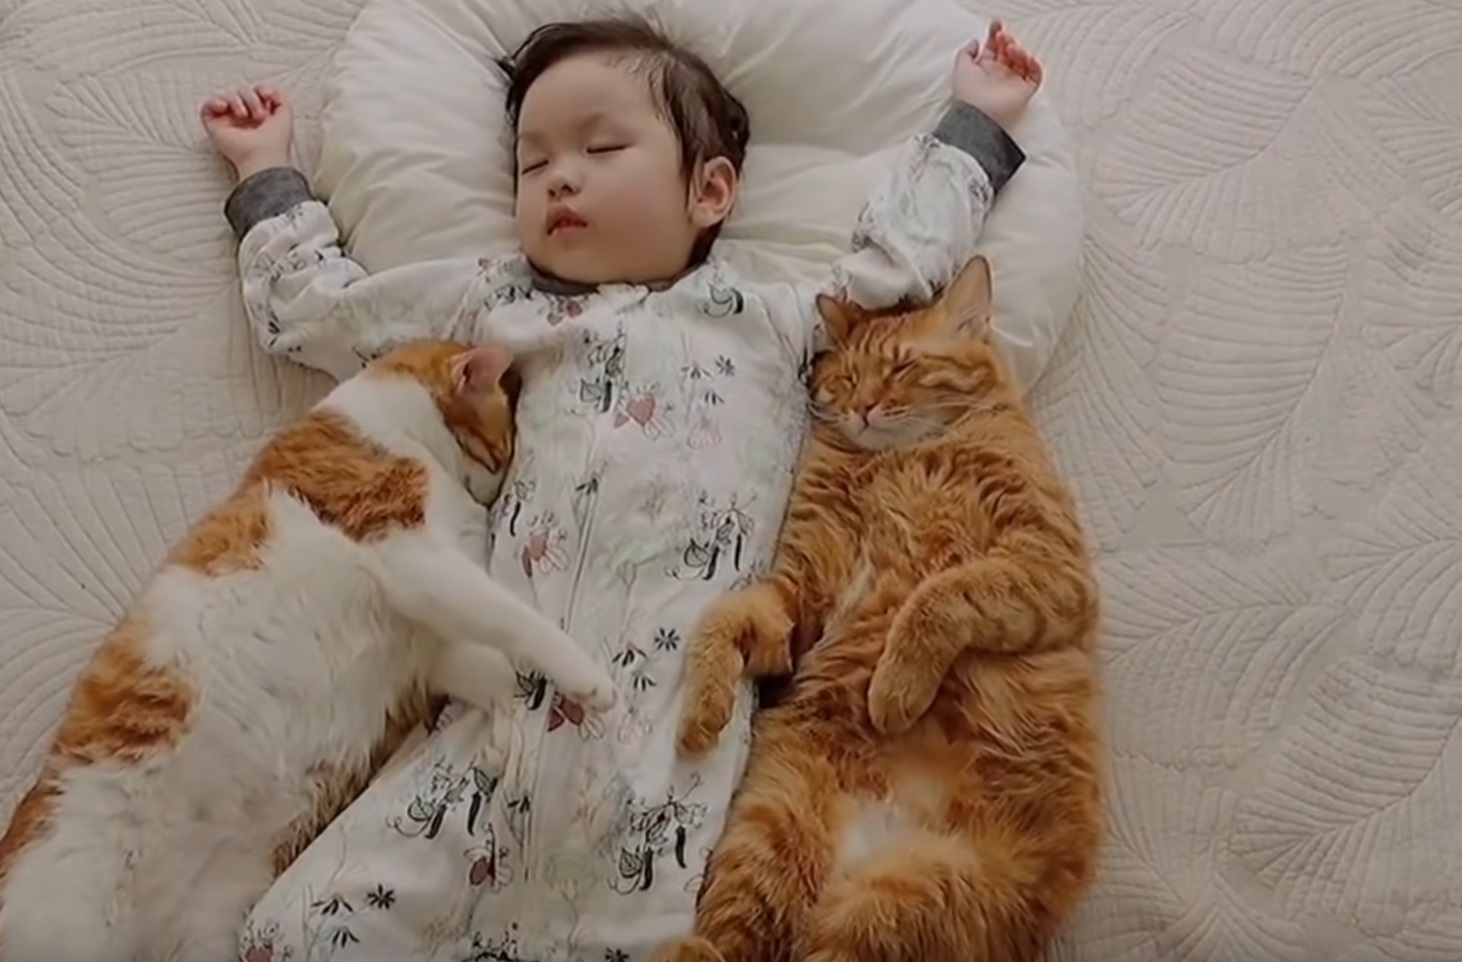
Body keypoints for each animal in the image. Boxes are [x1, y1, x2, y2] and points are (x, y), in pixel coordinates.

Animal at [0, 340, 614, 959]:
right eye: (501, 450)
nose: (491, 495)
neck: (388, 428)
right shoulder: (408, 555)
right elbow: (515, 619)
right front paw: (589, 678)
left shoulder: (431, 647)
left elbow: (496, 673)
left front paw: (505, 737)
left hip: (207, 933)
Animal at [657, 254, 1099, 959]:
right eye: (846, 377)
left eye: (898, 368)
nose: (862, 407)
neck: (901, 457)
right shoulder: (799, 601)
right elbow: (723, 615)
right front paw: (705, 712)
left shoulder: (1050, 566)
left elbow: (936, 597)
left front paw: (894, 693)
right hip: (770, 830)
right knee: (733, 941)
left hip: (895, 902)